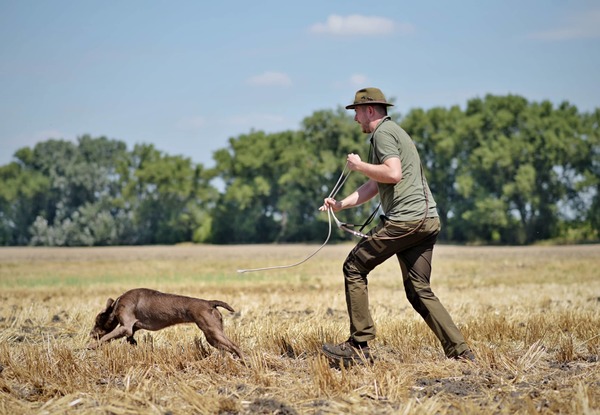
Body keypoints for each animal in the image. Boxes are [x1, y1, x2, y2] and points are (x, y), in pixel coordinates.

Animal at [88, 288, 241, 360]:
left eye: (96, 321)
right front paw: (134, 343)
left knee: (235, 346)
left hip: (212, 331)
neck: (116, 304)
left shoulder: (125, 327)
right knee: (230, 348)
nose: (90, 334)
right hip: (213, 336)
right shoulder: (132, 327)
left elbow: (106, 337)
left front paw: (91, 346)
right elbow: (130, 336)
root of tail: (210, 303)